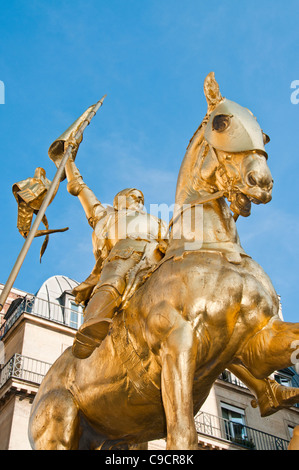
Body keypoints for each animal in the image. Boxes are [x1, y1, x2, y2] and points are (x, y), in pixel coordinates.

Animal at [28, 74, 299, 452]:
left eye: (266, 135)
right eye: (221, 122)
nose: (261, 183)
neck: (215, 248)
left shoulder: (258, 338)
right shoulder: (177, 343)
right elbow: (183, 434)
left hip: (117, 438)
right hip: (58, 427)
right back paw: (88, 332)